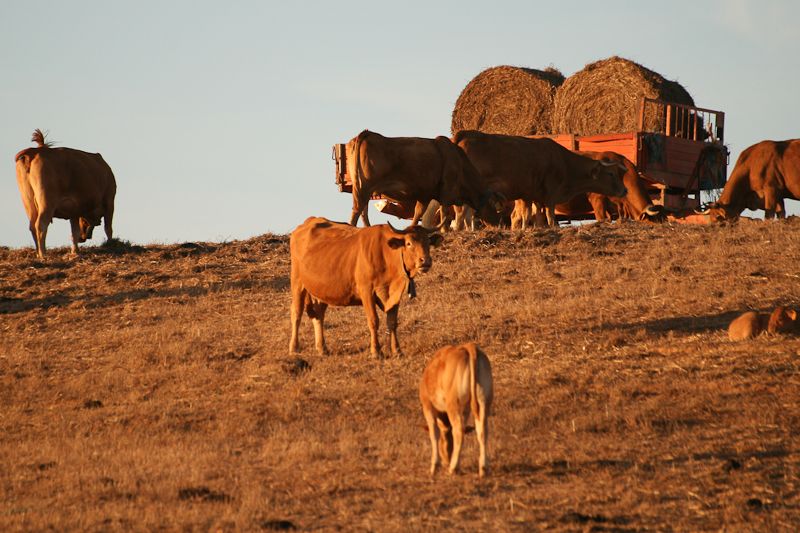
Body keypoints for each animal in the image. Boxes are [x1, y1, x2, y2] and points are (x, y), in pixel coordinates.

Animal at [15, 127, 117, 256]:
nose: (83, 238)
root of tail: (37, 150)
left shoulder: (74, 209)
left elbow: (74, 231)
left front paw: (75, 251)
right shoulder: (109, 200)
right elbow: (108, 227)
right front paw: (111, 244)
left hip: (28, 202)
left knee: (32, 226)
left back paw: (38, 253)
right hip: (46, 202)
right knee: (41, 224)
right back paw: (43, 254)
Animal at [290, 215, 444, 358]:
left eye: (428, 242)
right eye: (408, 243)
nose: (425, 261)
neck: (386, 254)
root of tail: (309, 221)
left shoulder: (394, 294)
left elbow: (392, 322)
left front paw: (397, 350)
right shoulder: (366, 291)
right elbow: (373, 320)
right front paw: (376, 351)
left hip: (321, 290)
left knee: (319, 316)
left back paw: (322, 348)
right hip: (297, 282)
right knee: (297, 313)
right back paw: (294, 348)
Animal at [346, 131, 504, 229]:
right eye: (497, 210)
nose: (500, 225)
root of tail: (367, 133)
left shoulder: (425, 195)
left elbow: (418, 214)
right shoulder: (447, 191)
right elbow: (445, 213)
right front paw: (444, 230)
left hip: (363, 189)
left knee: (363, 212)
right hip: (364, 187)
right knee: (357, 210)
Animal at [418, 342, 494, 476]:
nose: (446, 461)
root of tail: (469, 346)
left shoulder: (427, 405)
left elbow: (434, 433)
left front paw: (434, 467)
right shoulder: (465, 410)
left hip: (453, 404)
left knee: (458, 431)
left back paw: (453, 468)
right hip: (484, 400)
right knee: (482, 431)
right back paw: (483, 468)